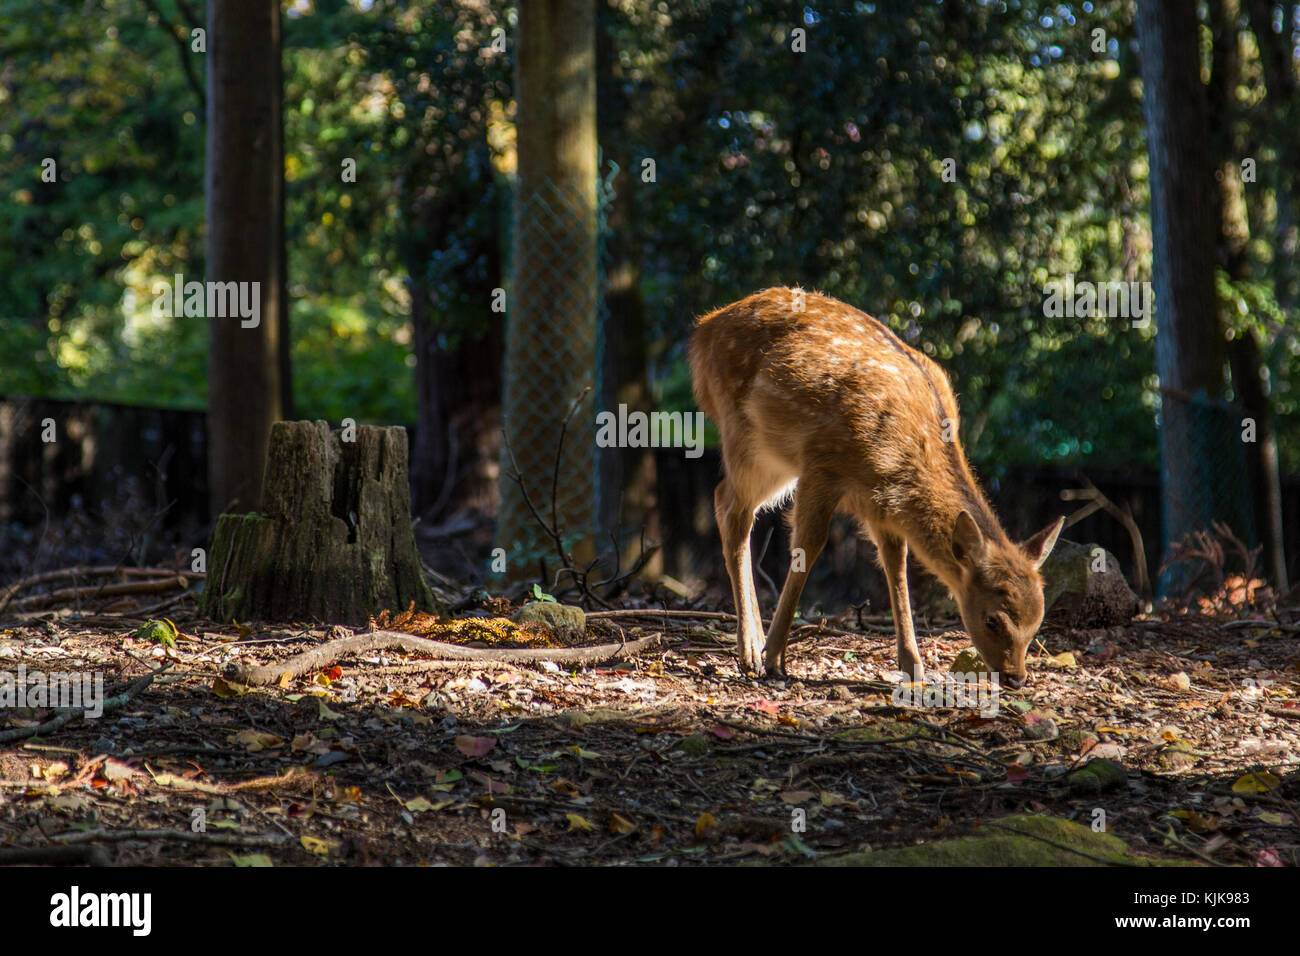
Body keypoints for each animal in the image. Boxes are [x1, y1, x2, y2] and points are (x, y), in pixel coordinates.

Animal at [686, 290, 1060, 686]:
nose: (1016, 677)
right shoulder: (822, 463)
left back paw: (753, 643)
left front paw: (913, 665)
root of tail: (703, 329)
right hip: (745, 435)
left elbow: (895, 564)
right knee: (732, 509)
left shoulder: (882, 504)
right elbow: (808, 546)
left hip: (776, 459)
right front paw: (775, 658)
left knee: (723, 498)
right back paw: (750, 654)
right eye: (992, 619)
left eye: (1037, 623)